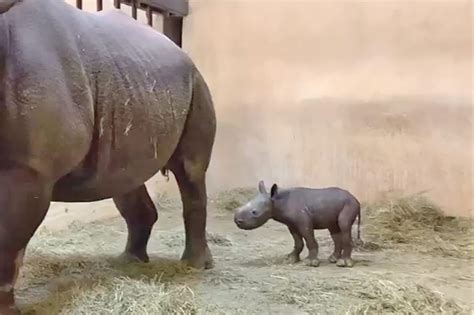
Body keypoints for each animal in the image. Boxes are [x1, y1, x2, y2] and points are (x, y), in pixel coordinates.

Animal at [0, 0, 217, 312]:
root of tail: (179, 50)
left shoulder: (27, 171)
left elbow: (7, 239)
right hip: (135, 85)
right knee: (125, 178)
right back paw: (129, 263)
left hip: (196, 82)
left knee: (190, 171)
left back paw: (195, 265)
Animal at [234, 181, 362, 268]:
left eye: (254, 212)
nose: (237, 220)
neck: (276, 201)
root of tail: (355, 198)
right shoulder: (291, 224)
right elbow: (298, 241)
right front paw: (290, 259)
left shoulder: (304, 222)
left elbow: (309, 240)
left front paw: (310, 263)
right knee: (334, 229)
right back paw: (333, 259)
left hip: (349, 204)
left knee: (344, 226)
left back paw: (343, 263)